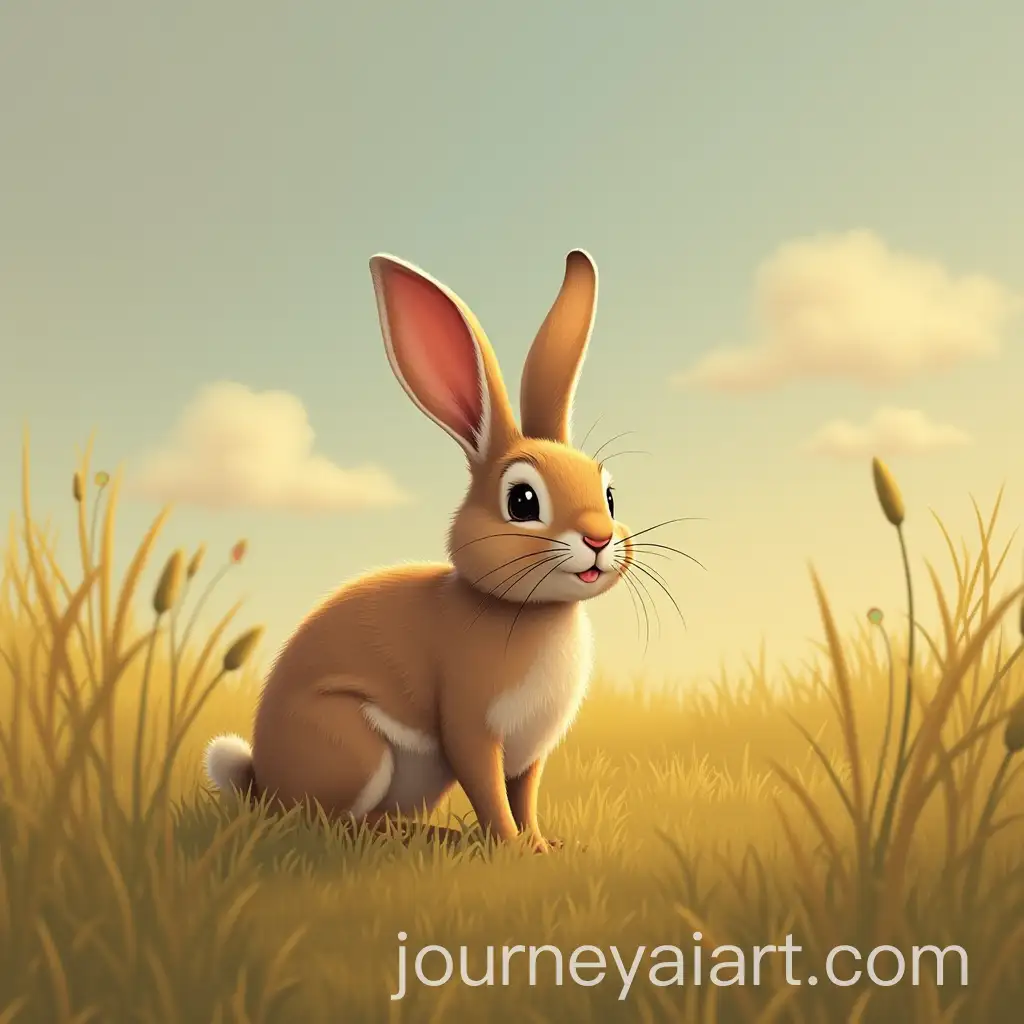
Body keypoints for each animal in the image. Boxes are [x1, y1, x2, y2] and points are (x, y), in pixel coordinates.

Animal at [203, 248, 633, 853]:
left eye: (610, 496)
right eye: (522, 500)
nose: (599, 539)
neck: (532, 611)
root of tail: (265, 787)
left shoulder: (531, 754)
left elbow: (524, 796)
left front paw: (542, 845)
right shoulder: (471, 728)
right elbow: (491, 794)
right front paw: (509, 849)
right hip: (351, 744)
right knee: (328, 824)